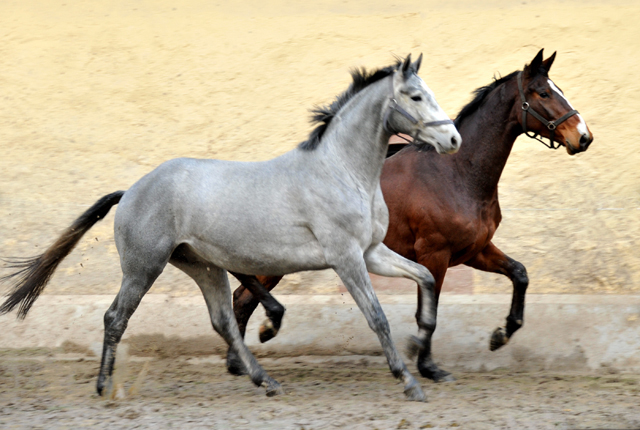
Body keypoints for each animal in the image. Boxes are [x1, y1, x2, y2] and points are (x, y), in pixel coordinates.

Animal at [0, 55, 460, 402]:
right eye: (416, 96)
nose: (453, 140)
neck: (341, 171)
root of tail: (131, 191)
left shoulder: (371, 252)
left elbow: (425, 279)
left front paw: (422, 348)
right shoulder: (346, 258)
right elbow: (377, 317)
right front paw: (409, 380)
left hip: (202, 266)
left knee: (222, 320)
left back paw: (265, 380)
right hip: (144, 267)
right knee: (116, 317)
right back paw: (104, 386)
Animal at [228, 48, 592, 382]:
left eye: (557, 88)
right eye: (543, 93)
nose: (583, 136)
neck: (457, 173)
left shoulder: (474, 250)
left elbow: (520, 274)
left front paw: (500, 335)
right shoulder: (435, 254)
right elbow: (427, 314)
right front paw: (428, 365)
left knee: (240, 297)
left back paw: (240, 361)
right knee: (242, 292)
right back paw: (258, 341)